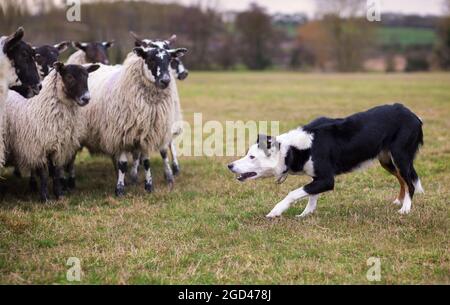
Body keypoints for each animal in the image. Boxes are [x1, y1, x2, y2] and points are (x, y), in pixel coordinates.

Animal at [4, 61, 99, 200]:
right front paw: (45, 198)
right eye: (69, 77)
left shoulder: (60, 147)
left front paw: (59, 195)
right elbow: (44, 174)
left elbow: (56, 173)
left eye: (87, 76)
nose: (86, 99)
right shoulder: (40, 146)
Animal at [79, 44, 186, 195]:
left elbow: (146, 162)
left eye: (169, 60)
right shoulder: (121, 134)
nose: (165, 80)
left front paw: (148, 186)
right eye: (150, 59)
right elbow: (123, 164)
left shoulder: (147, 134)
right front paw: (119, 189)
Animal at [229, 103, 426, 217]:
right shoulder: (318, 178)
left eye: (252, 157)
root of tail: (414, 116)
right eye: (247, 153)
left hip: (401, 156)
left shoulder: (327, 180)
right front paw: (306, 214)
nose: (229, 165)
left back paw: (405, 209)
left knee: (410, 182)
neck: (293, 149)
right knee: (403, 180)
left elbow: (294, 193)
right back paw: (399, 201)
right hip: (386, 160)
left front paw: (276, 211)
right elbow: (311, 195)